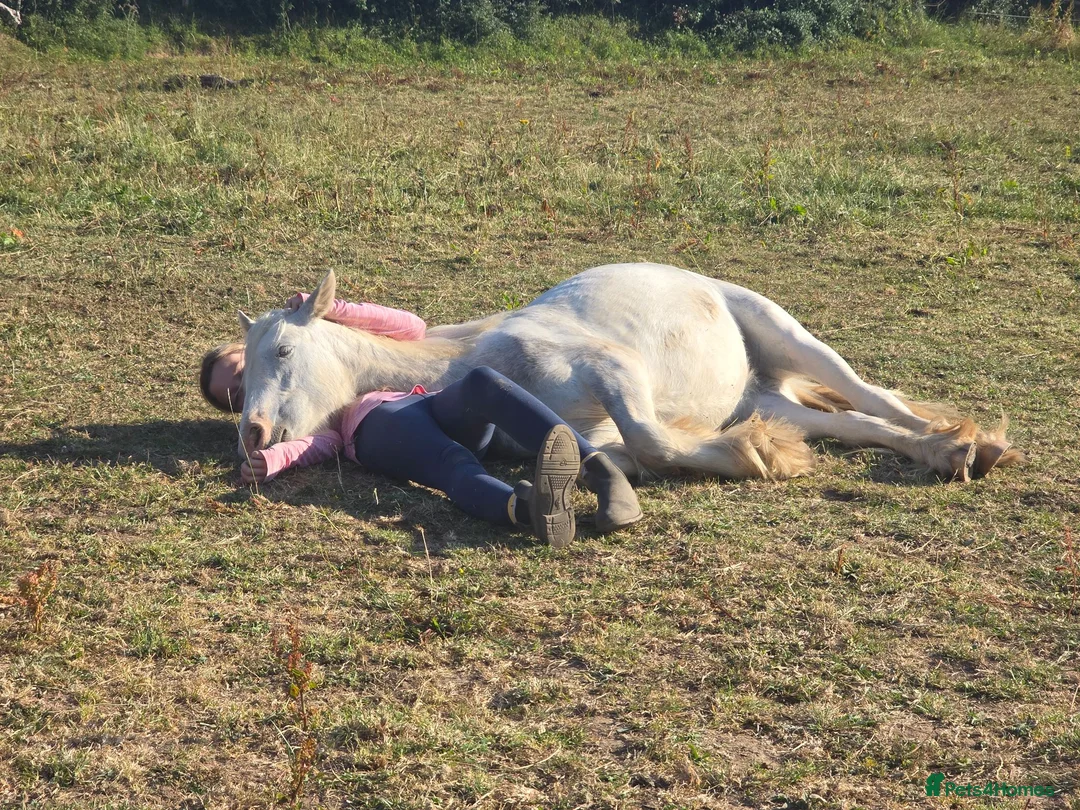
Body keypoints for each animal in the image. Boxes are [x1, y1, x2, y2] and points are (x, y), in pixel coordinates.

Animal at [235, 262, 1022, 482]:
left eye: (283, 353)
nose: (253, 434)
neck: (478, 357)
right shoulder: (588, 430)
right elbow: (623, 452)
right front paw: (760, 448)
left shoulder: (613, 371)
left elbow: (651, 437)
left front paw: (753, 457)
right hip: (766, 397)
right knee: (857, 423)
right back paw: (946, 450)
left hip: (791, 337)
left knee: (874, 396)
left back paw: (965, 444)